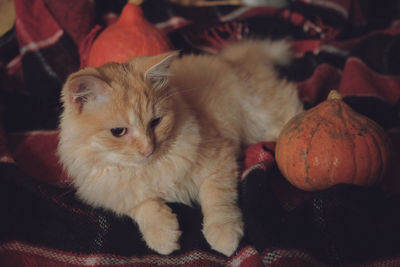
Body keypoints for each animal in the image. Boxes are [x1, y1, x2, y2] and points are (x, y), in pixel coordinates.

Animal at [57, 39, 304, 258]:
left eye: (155, 122)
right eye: (118, 132)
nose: (148, 149)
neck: (148, 167)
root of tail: (233, 59)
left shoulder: (219, 160)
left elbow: (218, 200)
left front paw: (224, 236)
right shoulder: (112, 193)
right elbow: (144, 206)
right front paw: (163, 235)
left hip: (258, 114)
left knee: (292, 107)